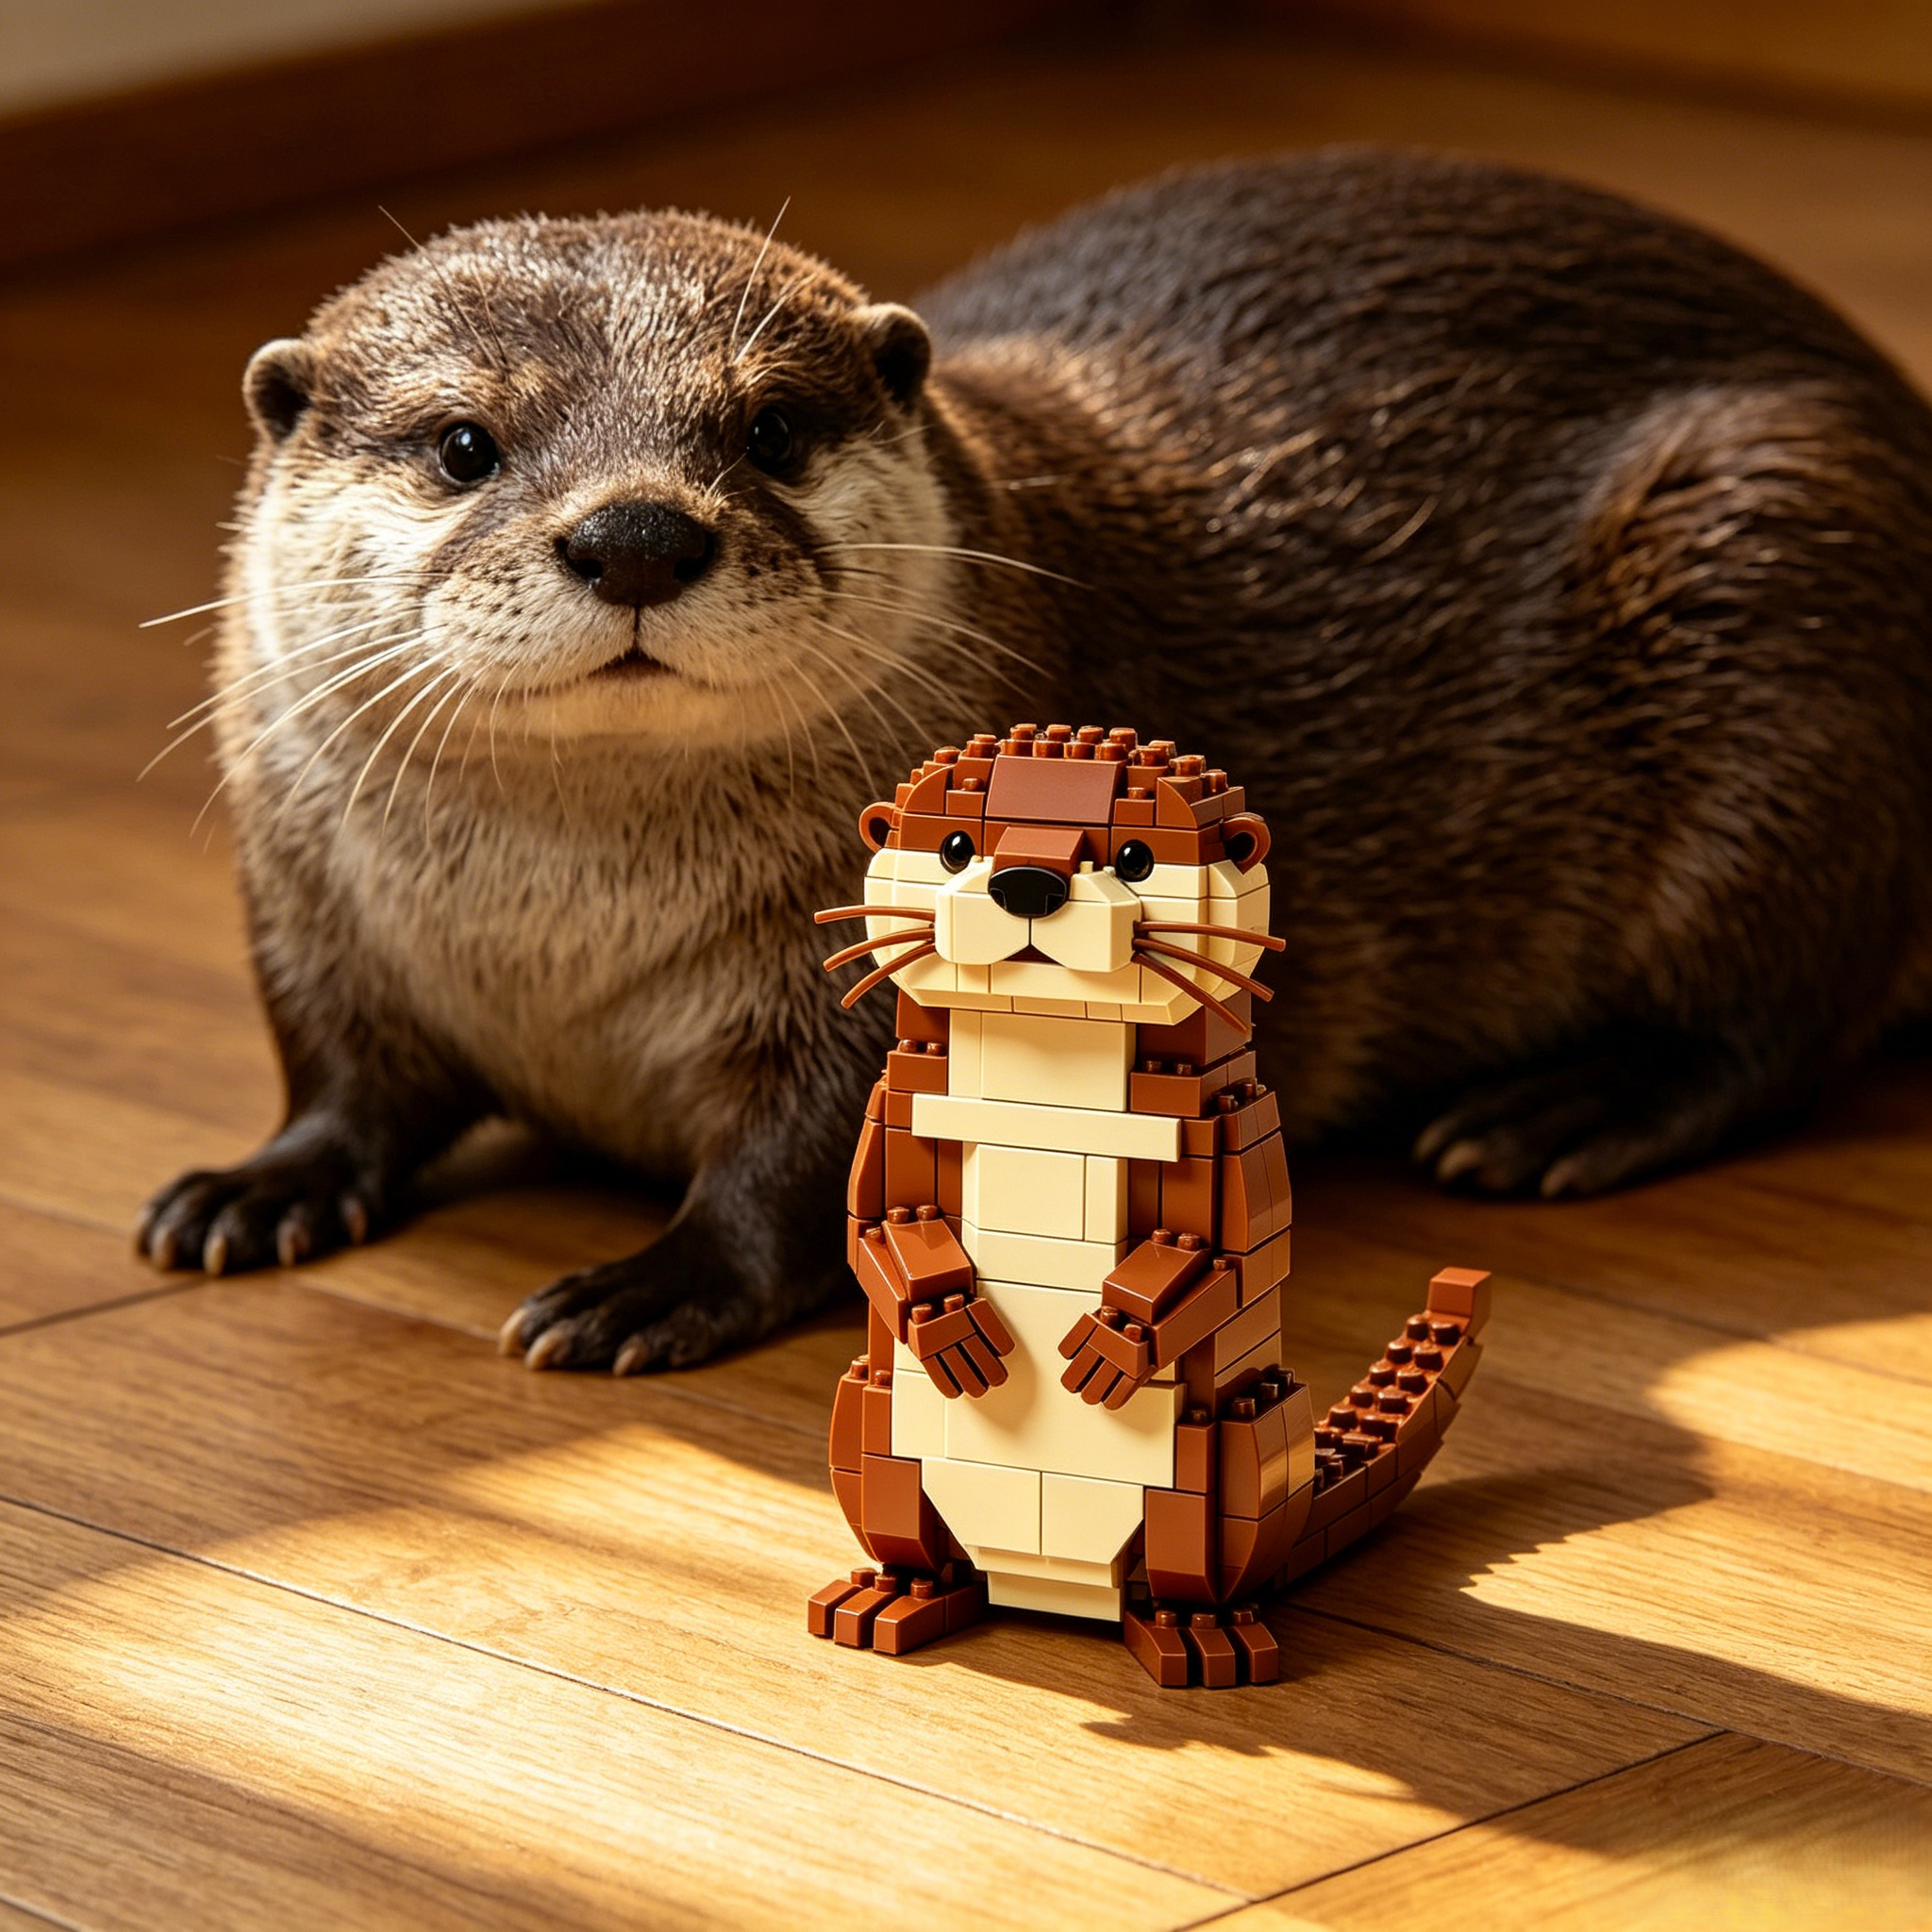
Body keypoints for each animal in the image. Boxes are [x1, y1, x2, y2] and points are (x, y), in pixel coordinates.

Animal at [138, 150, 1932, 1379]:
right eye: (464, 443)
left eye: (770, 430)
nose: (638, 531)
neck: (555, 944)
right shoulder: (313, 907)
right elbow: (340, 1068)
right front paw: (257, 1187)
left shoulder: (851, 999)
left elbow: (808, 1160)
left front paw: (645, 1287)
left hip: (1774, 564)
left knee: (1780, 1013)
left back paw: (1556, 1113)